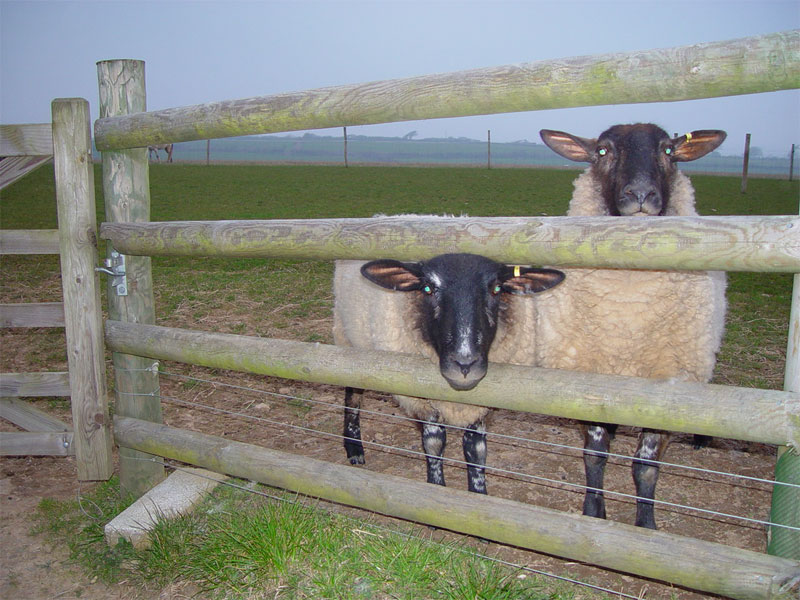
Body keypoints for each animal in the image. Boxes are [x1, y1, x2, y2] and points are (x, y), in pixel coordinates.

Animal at [333, 250, 565, 493]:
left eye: (497, 289)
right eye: (427, 288)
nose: (465, 364)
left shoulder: (477, 407)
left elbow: (476, 451)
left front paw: (479, 493)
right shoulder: (424, 402)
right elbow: (434, 445)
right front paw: (437, 486)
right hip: (349, 340)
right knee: (352, 395)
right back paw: (354, 448)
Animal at [537, 123, 728, 529]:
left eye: (669, 149)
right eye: (603, 151)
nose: (640, 195)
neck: (628, 314)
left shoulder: (666, 385)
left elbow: (646, 465)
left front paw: (646, 526)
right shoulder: (588, 383)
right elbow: (595, 455)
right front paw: (594, 512)